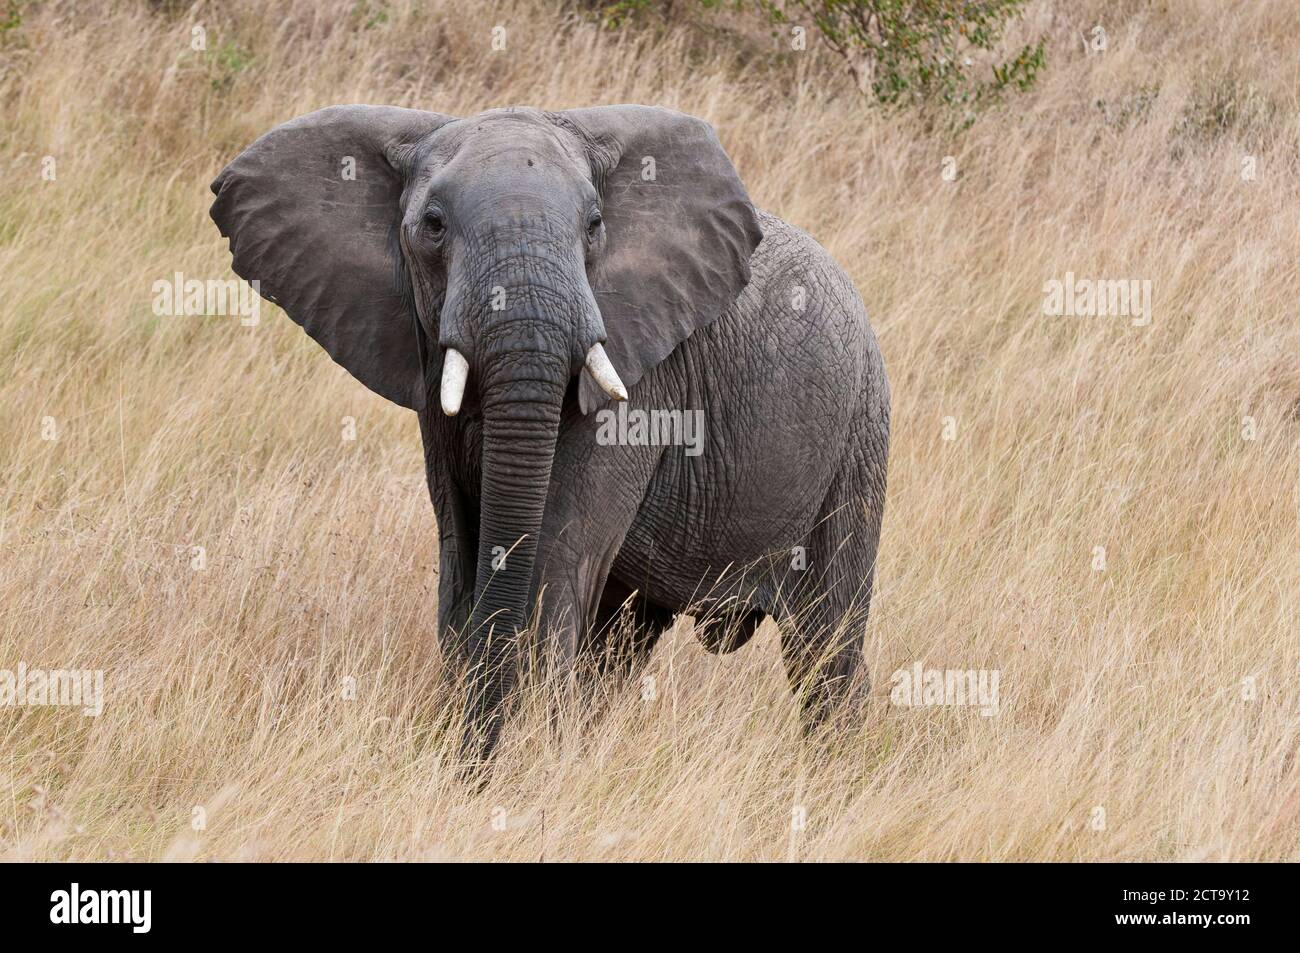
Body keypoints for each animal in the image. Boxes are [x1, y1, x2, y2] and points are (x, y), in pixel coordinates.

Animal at [213, 104, 889, 764]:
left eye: (594, 225)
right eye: (433, 225)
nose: (473, 768)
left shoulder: (642, 380)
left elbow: (554, 562)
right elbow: (461, 563)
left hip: (861, 433)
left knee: (826, 647)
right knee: (622, 642)